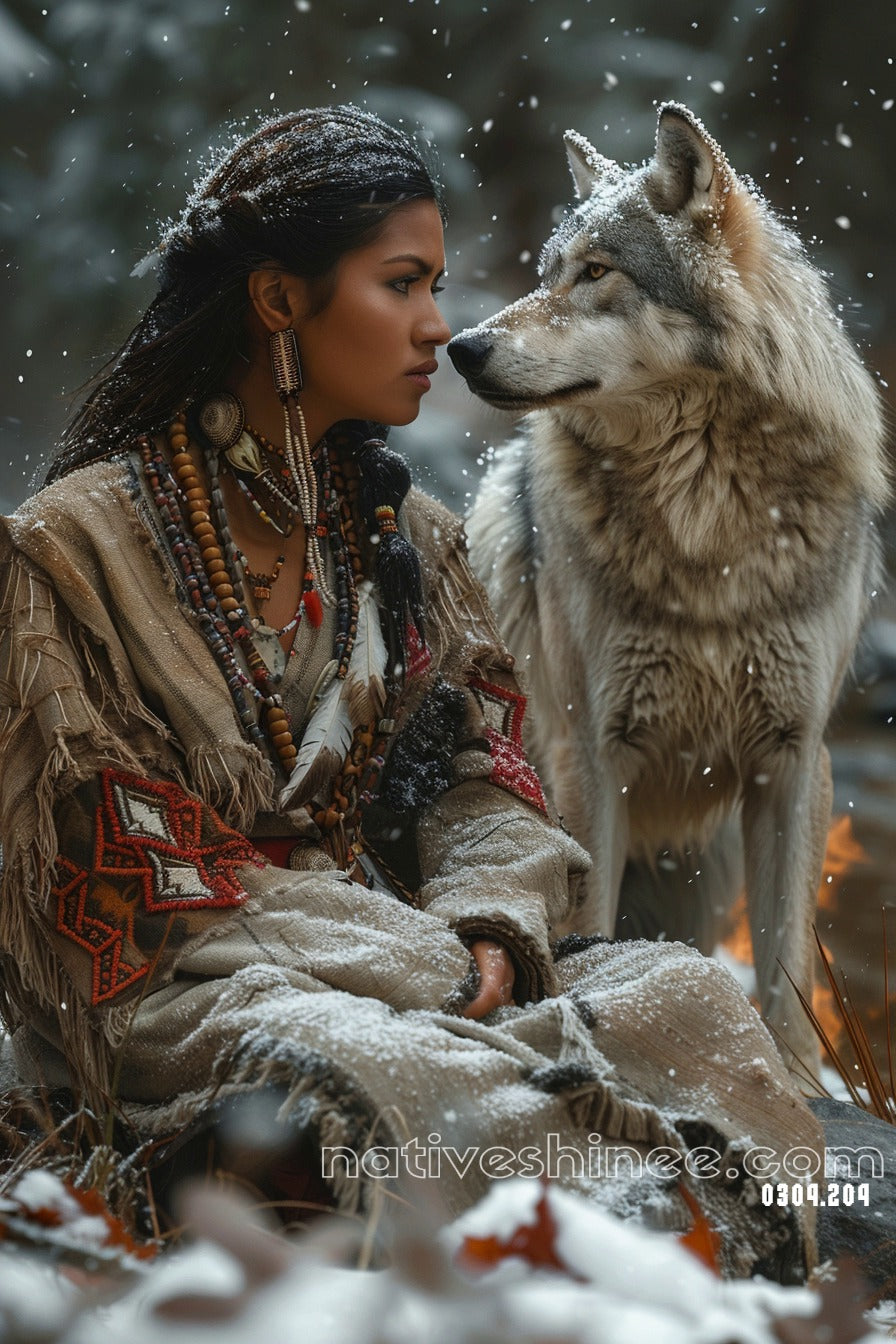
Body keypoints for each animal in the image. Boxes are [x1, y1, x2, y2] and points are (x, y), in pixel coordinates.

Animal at [448, 102, 889, 1071]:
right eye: (545, 272)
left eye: (596, 272)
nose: (460, 347)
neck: (708, 528)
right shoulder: (590, 754)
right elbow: (589, 931)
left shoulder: (792, 762)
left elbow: (787, 978)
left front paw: (795, 1085)